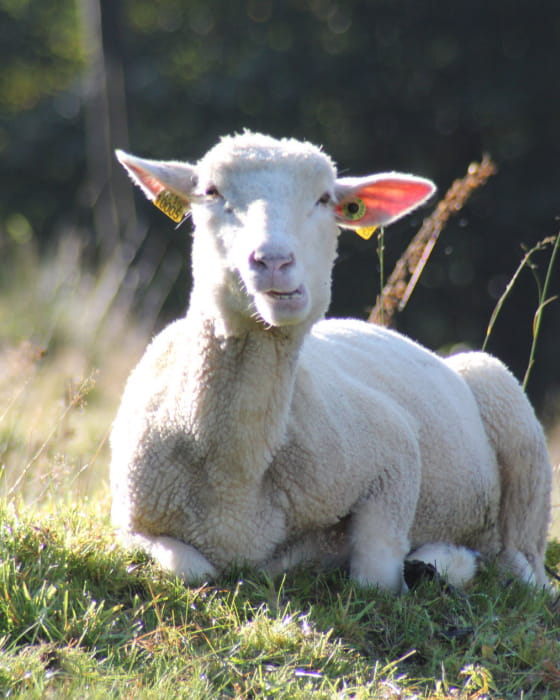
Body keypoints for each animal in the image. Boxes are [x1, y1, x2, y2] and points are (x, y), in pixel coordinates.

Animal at [111, 131, 552, 593]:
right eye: (212, 192)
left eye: (324, 199)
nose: (274, 261)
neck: (234, 471)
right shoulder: (128, 521)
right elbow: (190, 568)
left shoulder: (393, 451)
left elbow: (375, 577)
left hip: (513, 421)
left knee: (520, 565)